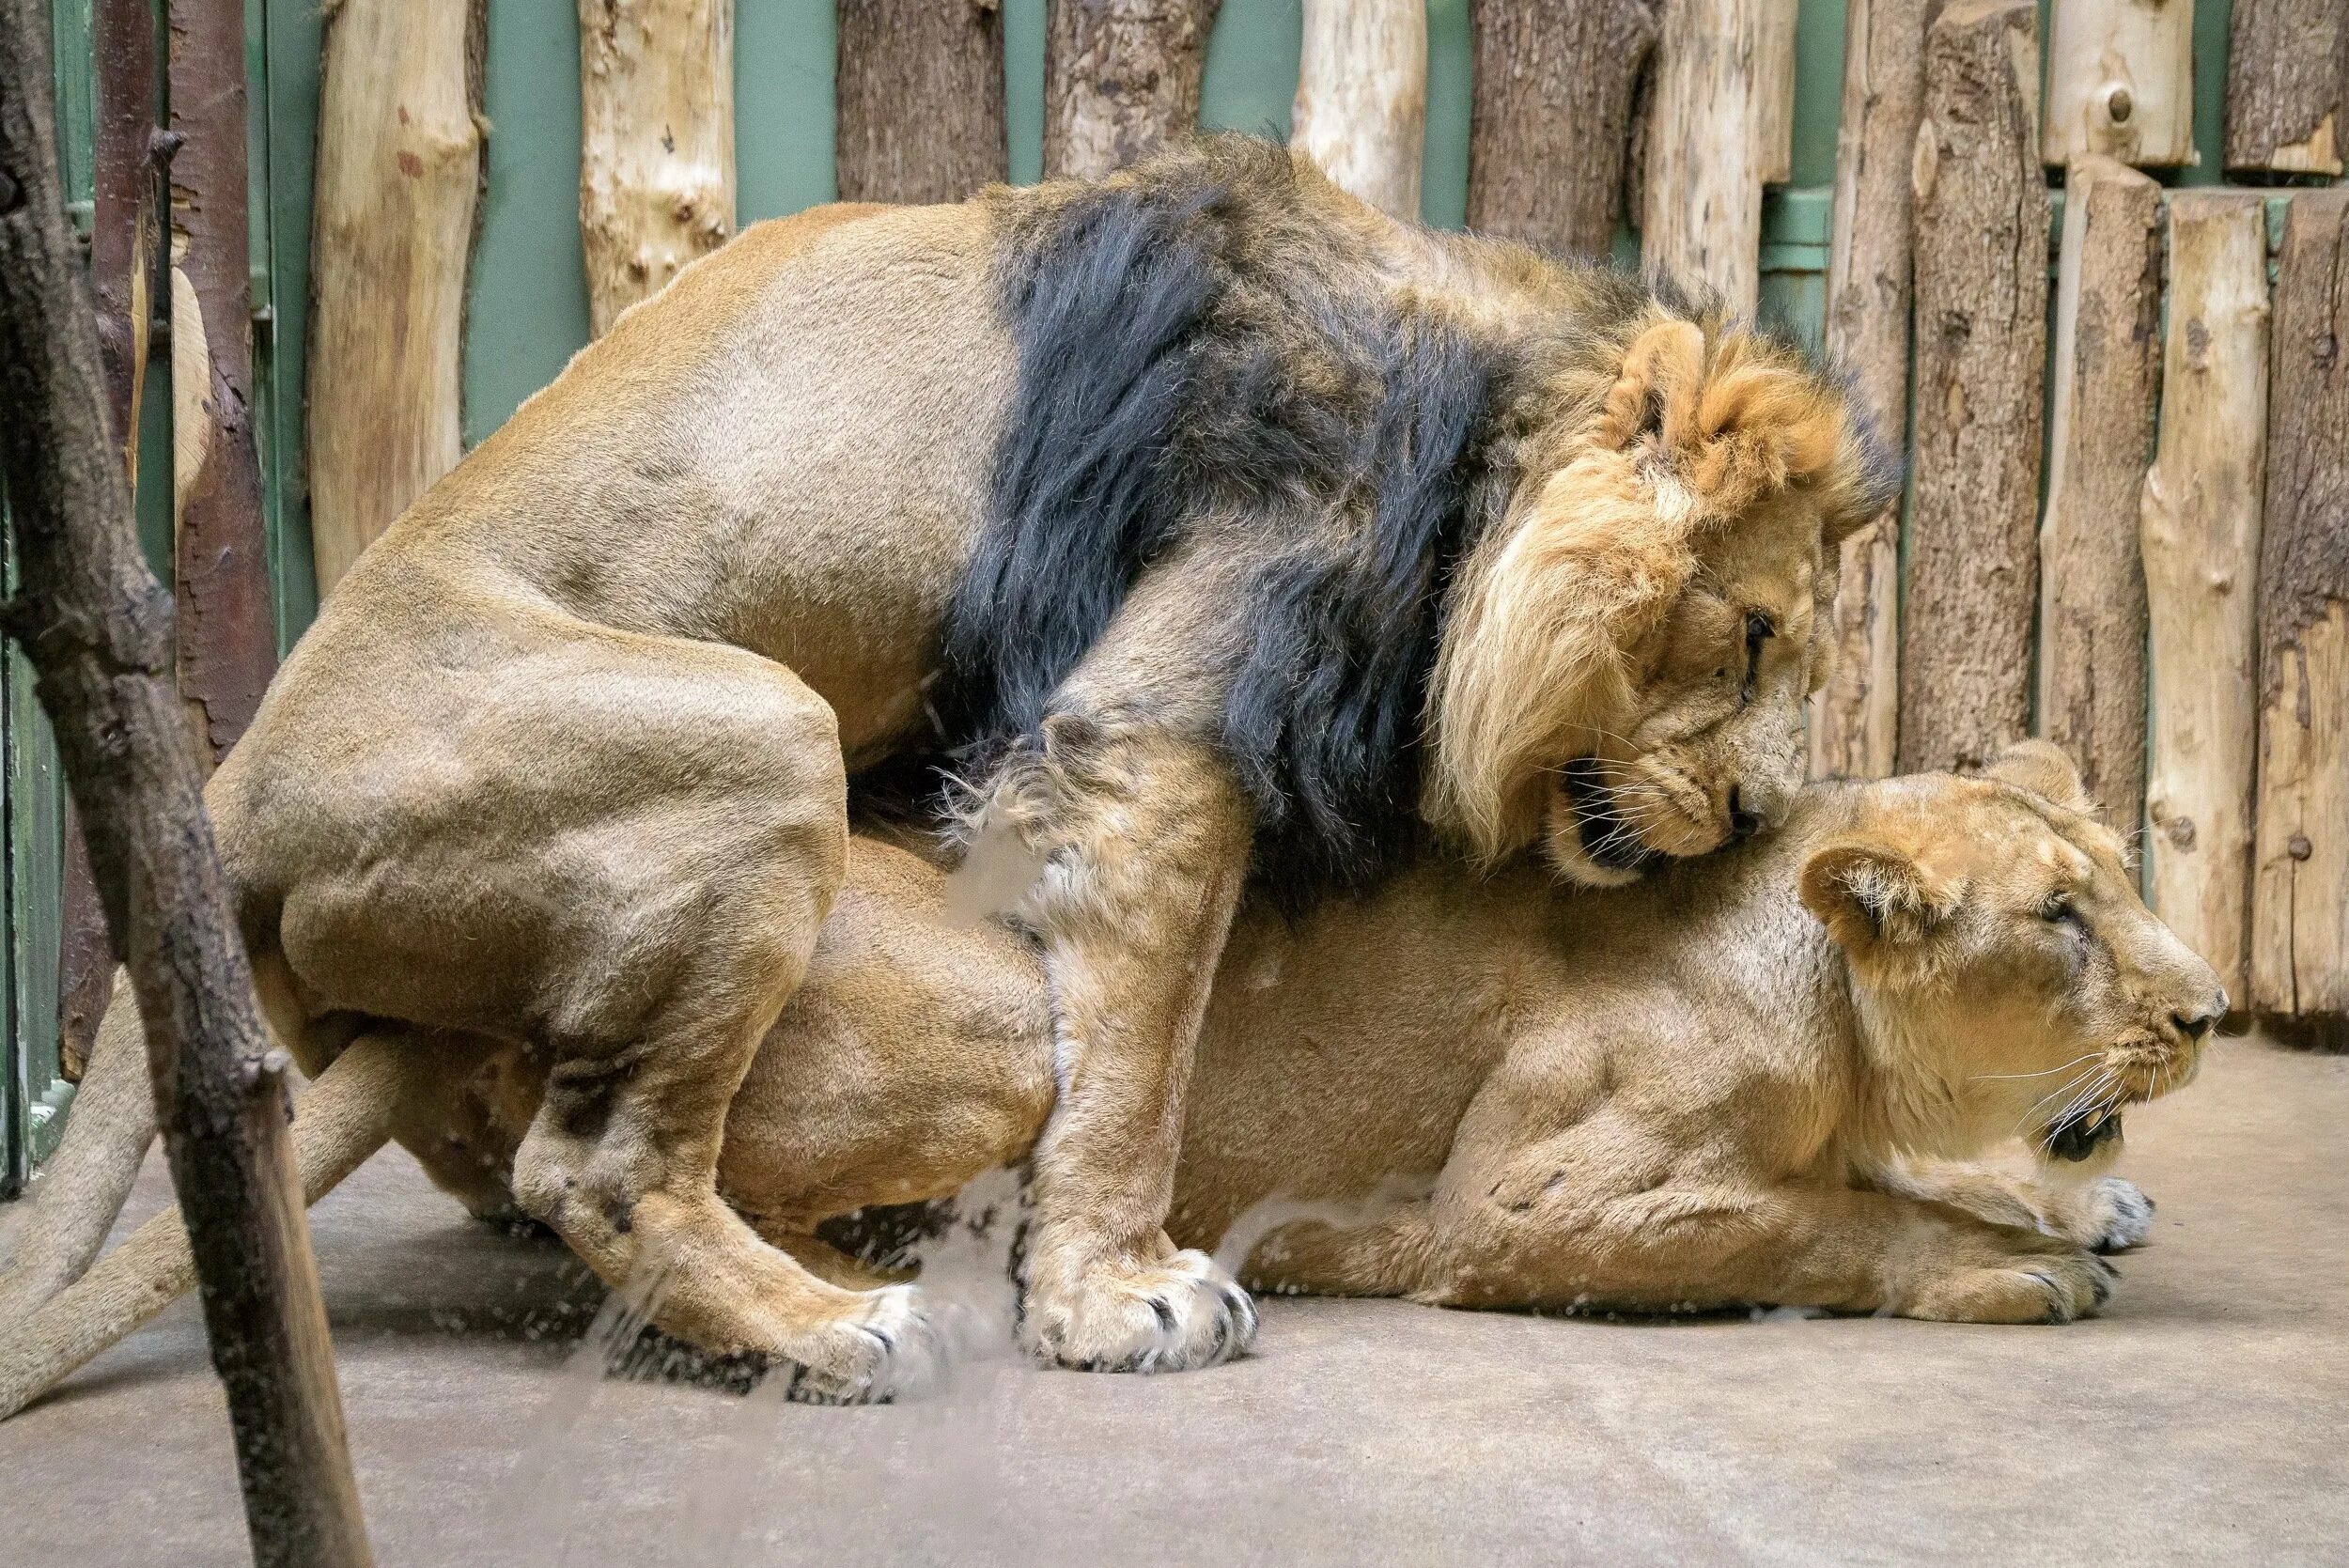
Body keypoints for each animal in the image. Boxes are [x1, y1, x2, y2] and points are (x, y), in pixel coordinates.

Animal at [0, 746, 2217, 1408]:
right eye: (2059, 919)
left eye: (2118, 874)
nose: (2203, 1011)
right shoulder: (1522, 1204)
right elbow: (1817, 1222)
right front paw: (2019, 1256)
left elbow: (1909, 1174)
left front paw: (2065, 1192)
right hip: (996, 1001)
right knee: (604, 1174)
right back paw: (847, 1303)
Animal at [4, 134, 1889, 1380]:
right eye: (1753, 638)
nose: (1756, 809)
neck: (1483, 418)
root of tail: (229, 794)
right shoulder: (1170, 703)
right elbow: (1141, 1048)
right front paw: (1120, 1293)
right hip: (755, 727)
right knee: (591, 1166)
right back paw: (833, 1328)